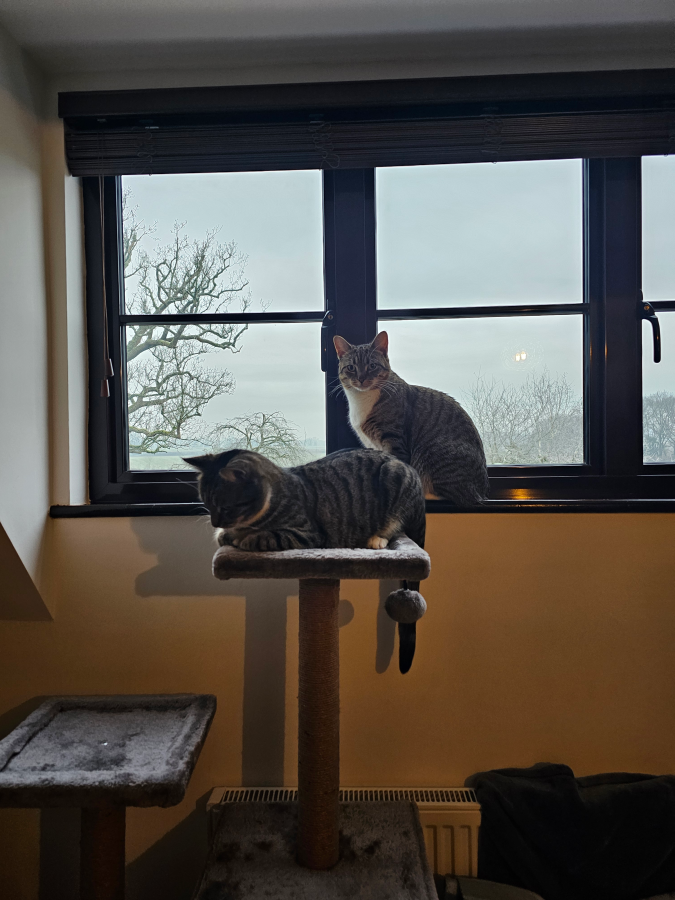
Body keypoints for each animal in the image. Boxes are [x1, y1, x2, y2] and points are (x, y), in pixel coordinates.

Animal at [184, 447, 426, 553]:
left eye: (226, 507)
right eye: (208, 506)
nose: (214, 522)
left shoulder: (307, 533)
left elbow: (268, 536)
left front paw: (247, 539)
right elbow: (225, 536)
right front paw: (225, 534)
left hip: (395, 481)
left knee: (395, 529)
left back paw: (376, 540)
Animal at [333, 331, 489, 507]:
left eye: (372, 366)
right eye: (351, 368)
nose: (361, 378)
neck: (362, 400)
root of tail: (481, 493)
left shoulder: (394, 441)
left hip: (433, 452)